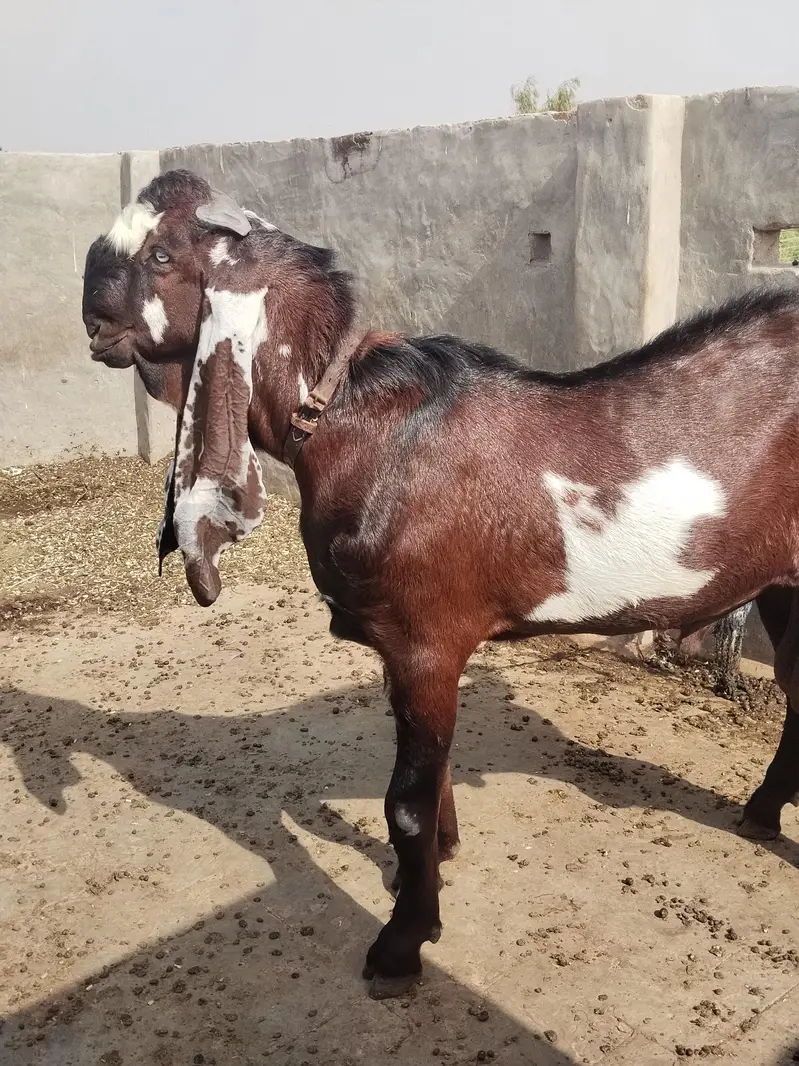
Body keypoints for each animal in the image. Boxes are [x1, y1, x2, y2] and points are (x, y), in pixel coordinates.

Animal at [83, 169, 799, 999]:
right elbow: (430, 777)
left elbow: (406, 801)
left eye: (162, 254)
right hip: (783, 586)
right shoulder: (406, 653)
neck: (363, 426)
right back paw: (761, 813)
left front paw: (401, 943)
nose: (92, 320)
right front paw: (428, 871)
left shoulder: (425, 641)